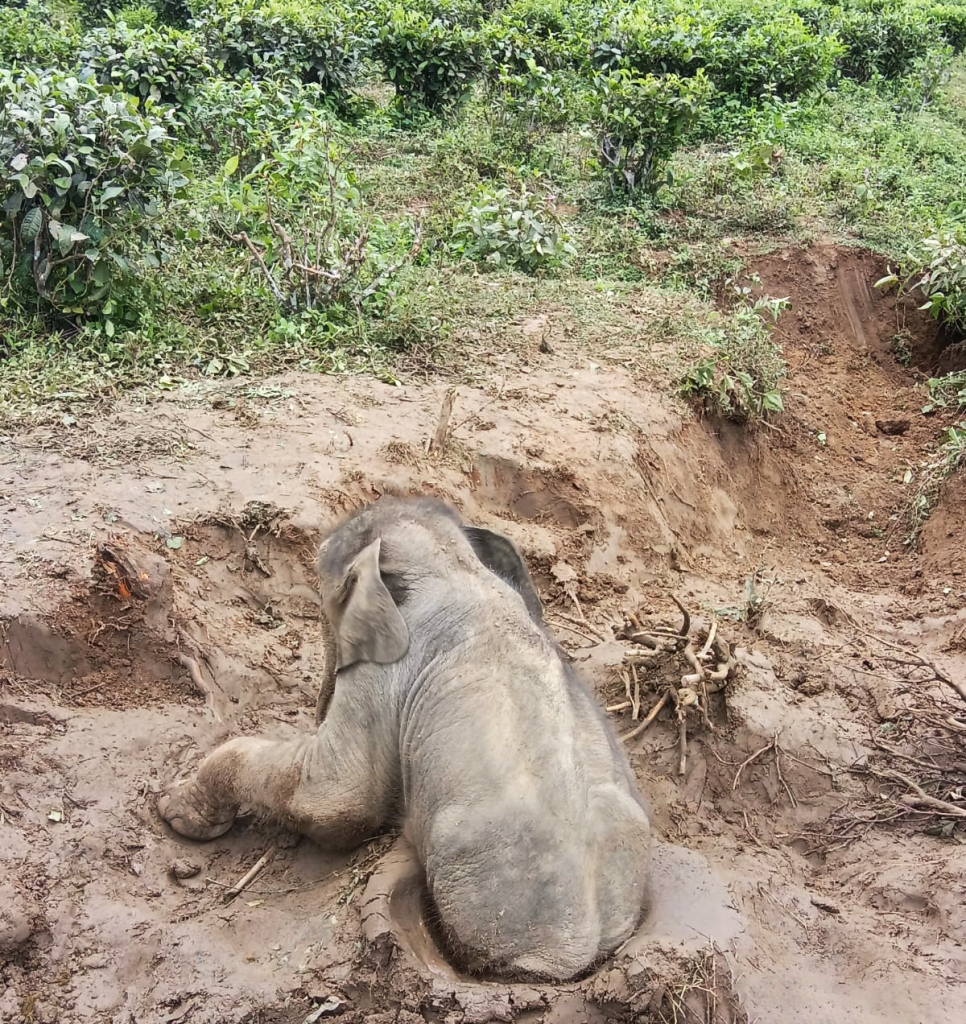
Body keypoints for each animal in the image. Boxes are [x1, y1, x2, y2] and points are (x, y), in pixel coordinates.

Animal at [158, 496, 651, 981]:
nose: (315, 712)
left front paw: (171, 809)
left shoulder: (386, 670)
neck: (454, 565)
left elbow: (337, 799)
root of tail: (577, 950)